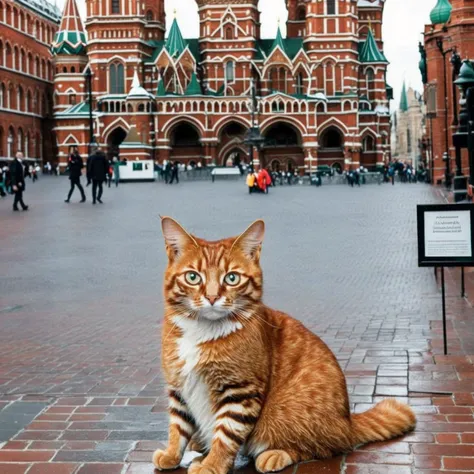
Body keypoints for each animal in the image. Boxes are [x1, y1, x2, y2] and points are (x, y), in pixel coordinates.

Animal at [154, 218, 416, 474]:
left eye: (231, 278)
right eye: (193, 277)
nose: (211, 297)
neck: (201, 330)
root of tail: (348, 422)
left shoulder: (240, 391)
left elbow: (226, 435)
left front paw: (213, 465)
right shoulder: (178, 386)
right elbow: (178, 427)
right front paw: (172, 455)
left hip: (288, 415)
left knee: (319, 448)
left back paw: (273, 455)